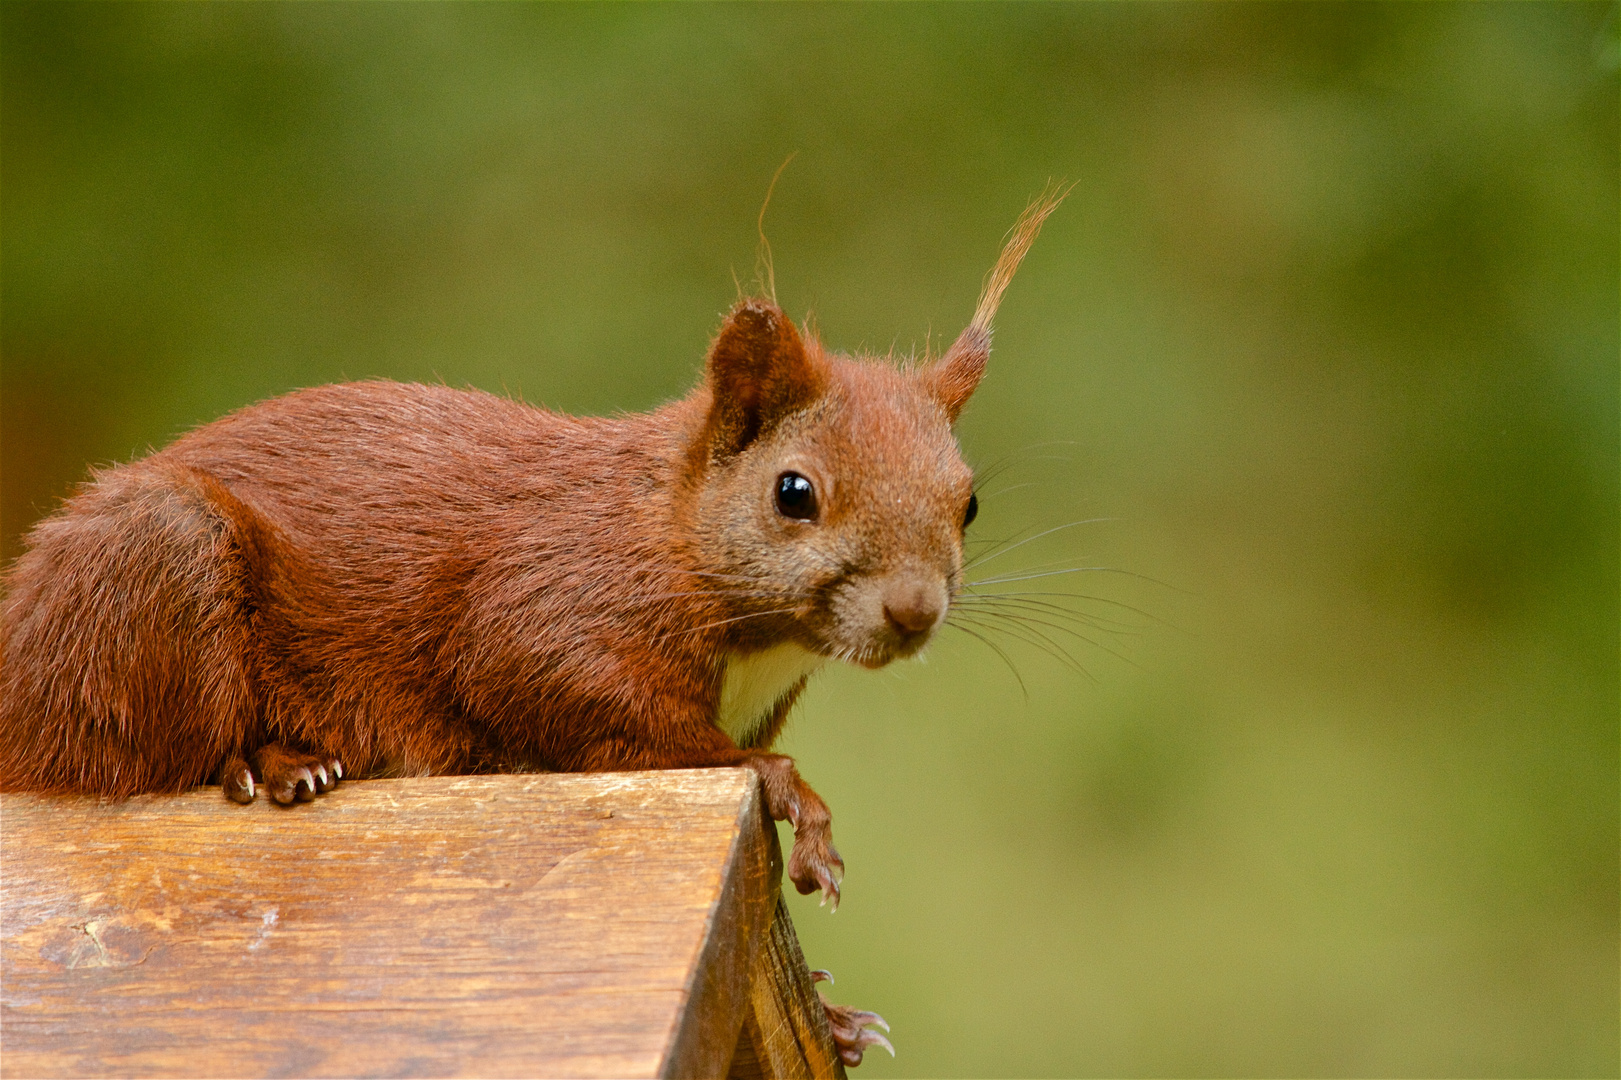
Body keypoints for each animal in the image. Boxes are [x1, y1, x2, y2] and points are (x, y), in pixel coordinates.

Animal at [0, 191, 1063, 1057]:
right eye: (792, 492)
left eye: (968, 502)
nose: (913, 611)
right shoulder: (549, 609)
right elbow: (613, 719)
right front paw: (793, 798)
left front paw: (834, 1018)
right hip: (152, 567)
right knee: (140, 758)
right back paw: (278, 763)